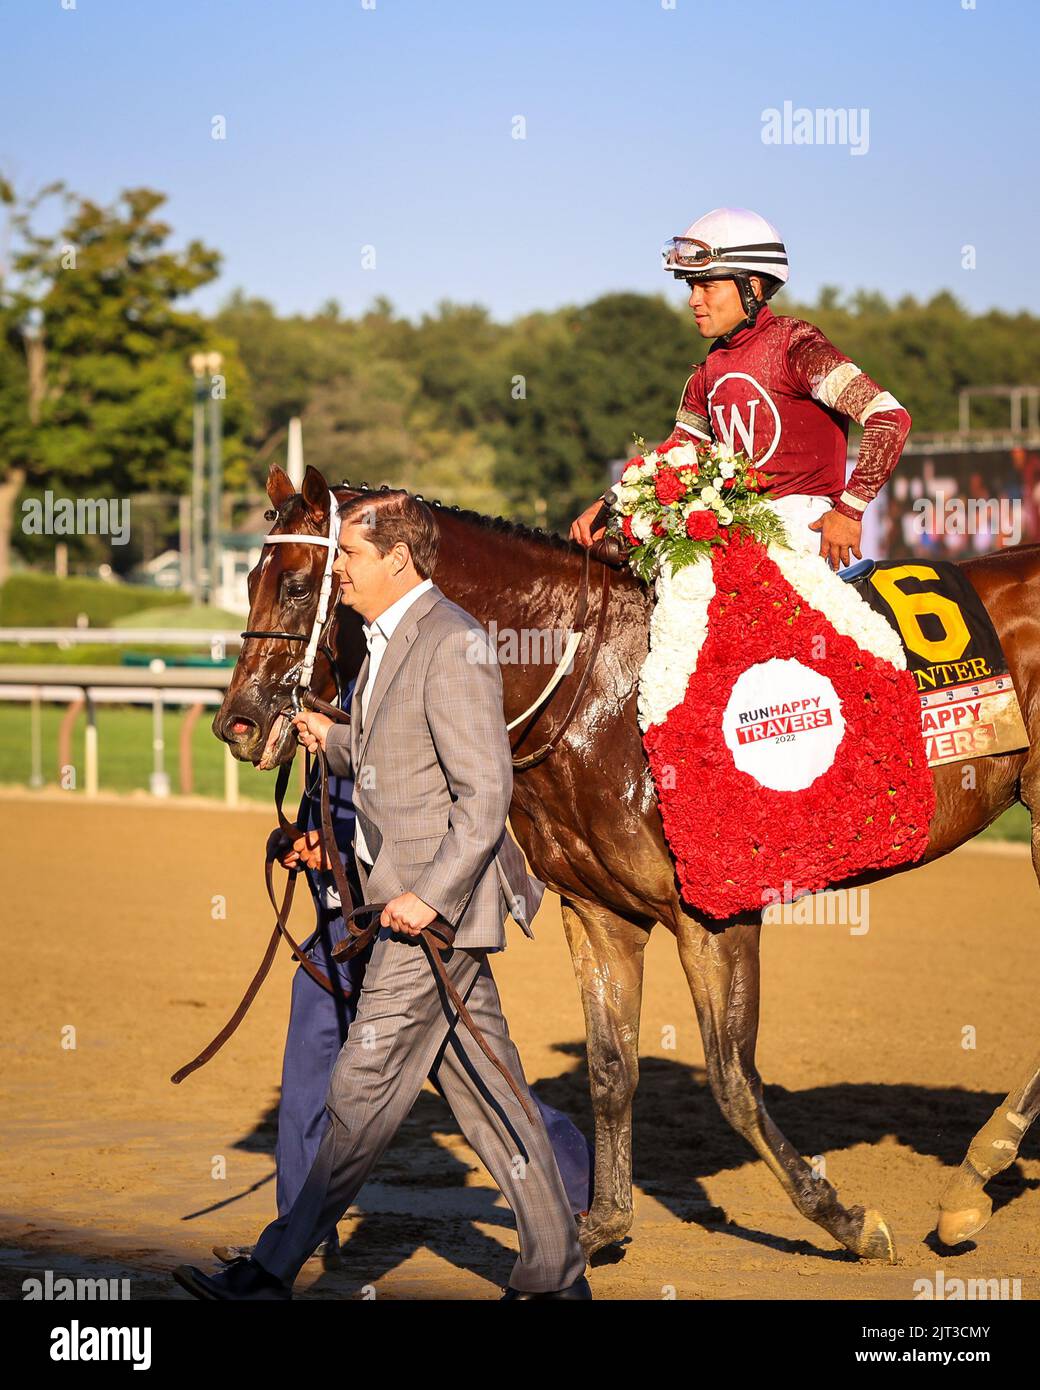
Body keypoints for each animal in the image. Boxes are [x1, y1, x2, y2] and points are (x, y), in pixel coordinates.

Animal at [212, 464, 1040, 1262]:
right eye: (248, 579)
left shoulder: (712, 915)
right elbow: (611, 1070)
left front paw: (843, 1218)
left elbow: (732, 1079)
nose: (237, 722)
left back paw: (972, 1180)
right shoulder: (598, 912)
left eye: (297, 582)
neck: (598, 693)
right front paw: (598, 1225)